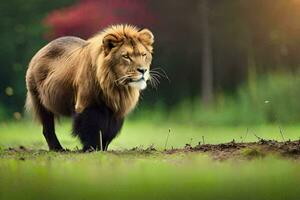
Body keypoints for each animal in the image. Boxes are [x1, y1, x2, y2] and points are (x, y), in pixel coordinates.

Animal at [25, 24, 155, 151]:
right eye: (126, 56)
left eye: (143, 55)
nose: (143, 70)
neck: (115, 87)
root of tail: (42, 50)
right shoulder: (87, 104)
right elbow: (91, 128)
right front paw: (92, 148)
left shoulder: (116, 110)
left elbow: (109, 132)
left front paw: (103, 149)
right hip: (40, 101)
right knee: (47, 129)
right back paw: (57, 149)